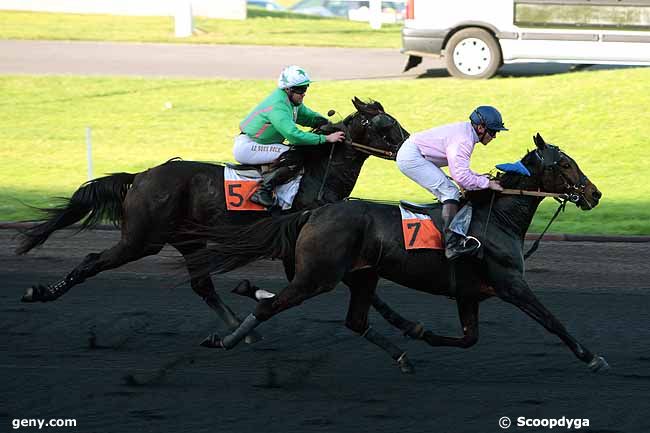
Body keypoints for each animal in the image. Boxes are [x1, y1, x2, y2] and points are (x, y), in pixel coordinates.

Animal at [13, 98, 404, 338]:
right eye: (386, 125)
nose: (408, 144)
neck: (319, 172)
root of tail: (139, 177)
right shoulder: (298, 246)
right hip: (141, 240)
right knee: (93, 260)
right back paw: (42, 292)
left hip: (188, 241)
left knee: (201, 284)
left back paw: (236, 326)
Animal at [189, 133, 608, 372]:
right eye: (565, 163)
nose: (595, 193)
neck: (497, 218)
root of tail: (314, 211)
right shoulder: (511, 285)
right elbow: (552, 321)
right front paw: (592, 357)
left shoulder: (468, 294)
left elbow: (469, 337)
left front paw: (421, 332)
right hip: (318, 277)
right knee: (270, 307)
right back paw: (226, 339)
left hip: (362, 274)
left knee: (356, 320)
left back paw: (402, 354)